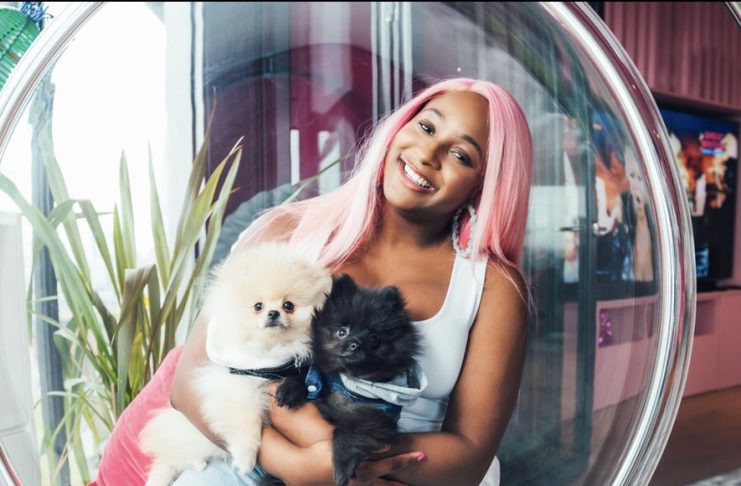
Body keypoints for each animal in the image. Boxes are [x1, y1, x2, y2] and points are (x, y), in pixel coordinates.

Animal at [139, 242, 332, 486]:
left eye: (289, 305)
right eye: (258, 306)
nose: (273, 313)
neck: (272, 350)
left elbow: (305, 377)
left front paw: (290, 390)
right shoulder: (237, 386)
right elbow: (246, 424)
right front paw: (245, 459)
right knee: (167, 458)